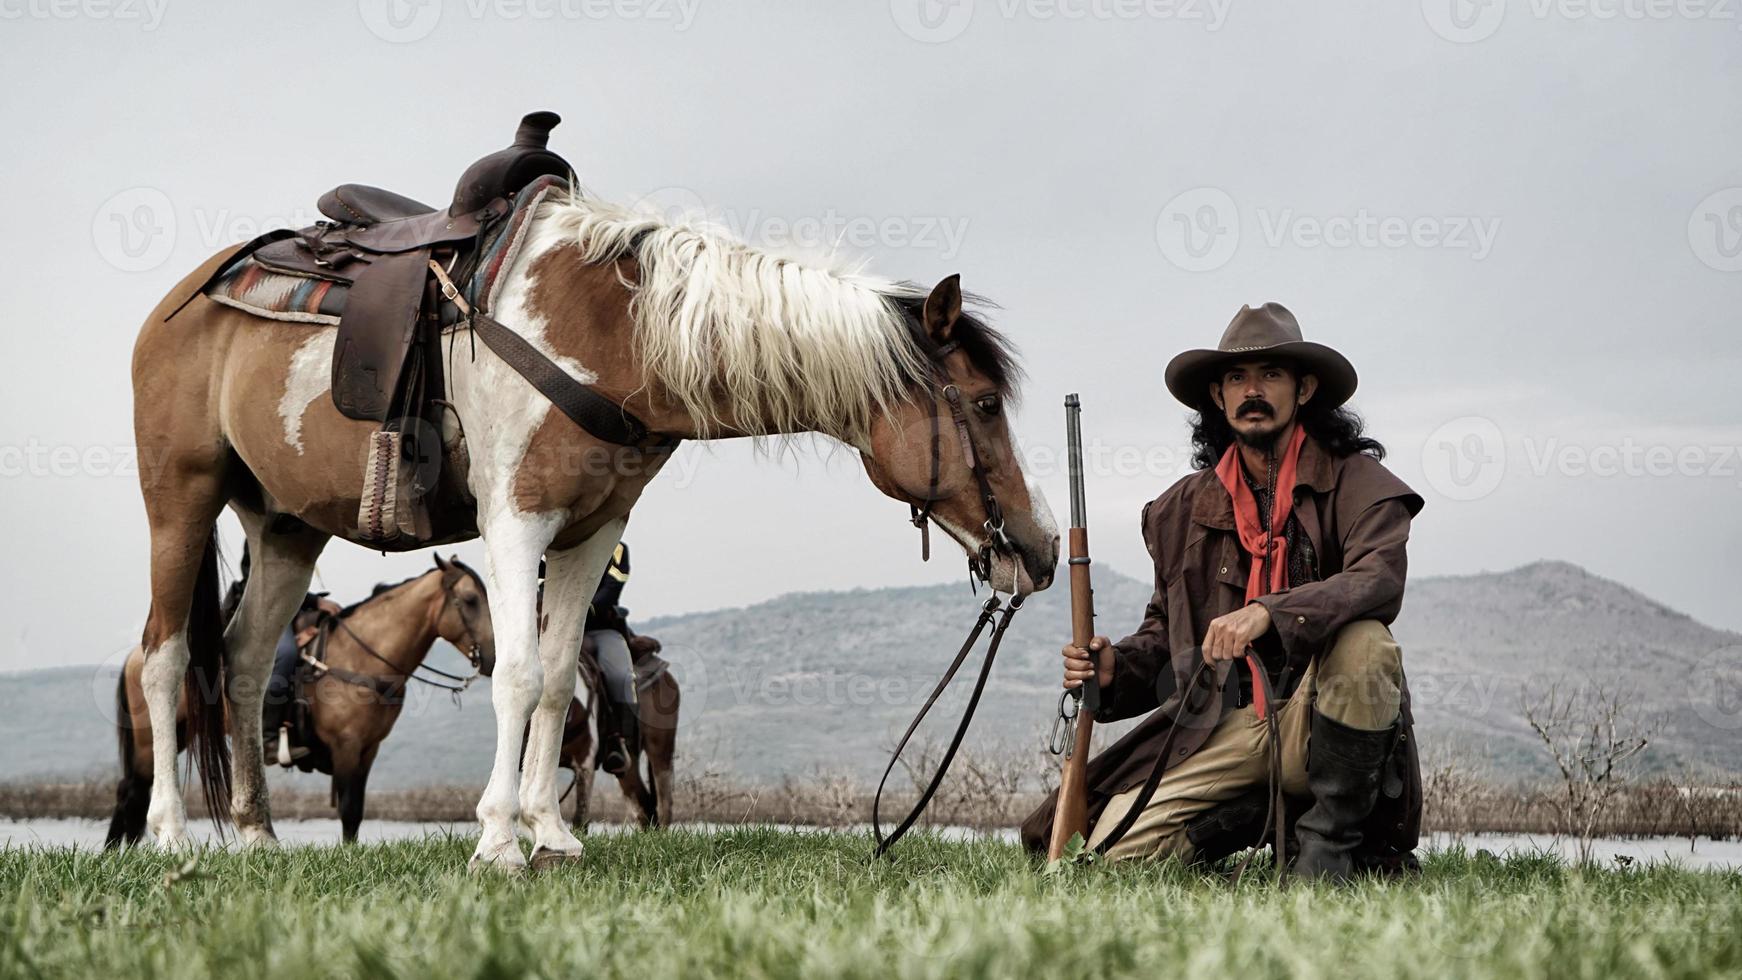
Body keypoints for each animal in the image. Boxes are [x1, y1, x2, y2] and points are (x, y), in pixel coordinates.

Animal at [128, 186, 1052, 873]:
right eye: (982, 404)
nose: (1039, 551)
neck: (614, 335)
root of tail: (178, 301)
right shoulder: (515, 523)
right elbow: (520, 675)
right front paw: (499, 841)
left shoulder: (590, 533)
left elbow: (559, 672)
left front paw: (551, 833)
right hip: (180, 500)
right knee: (167, 660)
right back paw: (170, 835)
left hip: (284, 527)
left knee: (245, 663)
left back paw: (257, 833)